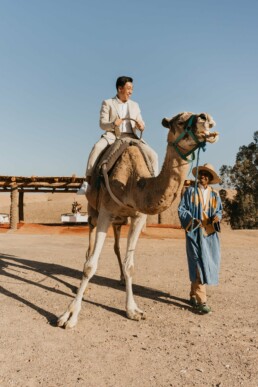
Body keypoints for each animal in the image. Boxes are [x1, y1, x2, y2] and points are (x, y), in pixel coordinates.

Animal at [57, 110, 219, 328]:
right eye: (180, 121)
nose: (206, 118)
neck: (132, 182)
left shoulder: (138, 216)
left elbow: (130, 265)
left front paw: (133, 310)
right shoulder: (106, 211)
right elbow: (91, 265)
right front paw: (69, 315)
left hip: (118, 220)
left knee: (117, 246)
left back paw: (119, 279)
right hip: (93, 210)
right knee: (89, 247)